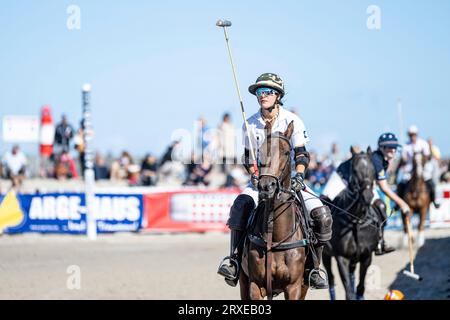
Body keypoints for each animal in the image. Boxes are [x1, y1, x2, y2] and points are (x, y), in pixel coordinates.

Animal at [239, 122, 310, 300]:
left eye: (286, 152)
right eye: (260, 150)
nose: (266, 186)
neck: (275, 236)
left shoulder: (294, 287)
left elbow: (302, 153)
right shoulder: (255, 285)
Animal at [322, 149, 382, 300]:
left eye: (373, 170)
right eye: (355, 170)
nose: (368, 196)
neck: (356, 220)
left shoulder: (366, 256)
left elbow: (360, 287)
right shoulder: (341, 258)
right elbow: (349, 291)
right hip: (326, 255)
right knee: (331, 280)